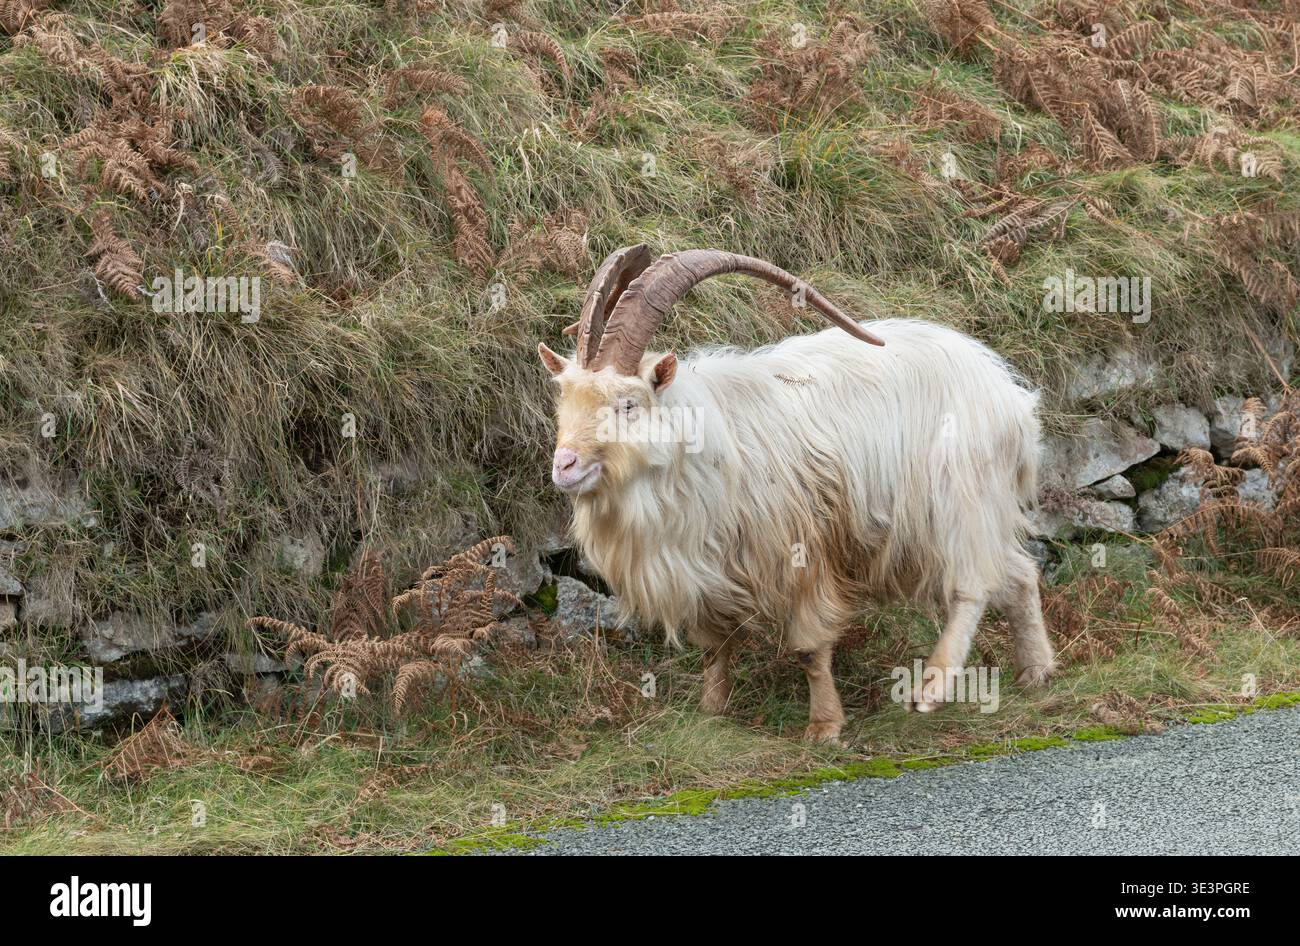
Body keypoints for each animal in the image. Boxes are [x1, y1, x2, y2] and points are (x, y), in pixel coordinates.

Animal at [537, 246, 1055, 742]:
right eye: (565, 400)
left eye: (627, 405)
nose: (565, 466)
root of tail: (1008, 394)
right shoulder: (704, 567)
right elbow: (714, 648)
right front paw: (711, 712)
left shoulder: (806, 552)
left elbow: (808, 648)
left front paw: (824, 727)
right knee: (1019, 572)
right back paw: (1036, 671)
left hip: (960, 499)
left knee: (973, 584)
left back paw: (932, 687)